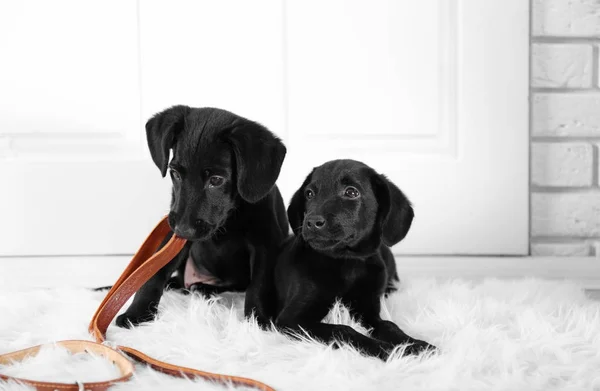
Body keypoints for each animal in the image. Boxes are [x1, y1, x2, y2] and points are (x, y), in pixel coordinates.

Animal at [116, 105, 288, 330]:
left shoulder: (265, 245)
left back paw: (203, 288)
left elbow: (257, 286)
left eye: (216, 180)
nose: (183, 230)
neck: (229, 221)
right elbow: (154, 274)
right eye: (175, 173)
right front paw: (136, 312)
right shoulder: (173, 238)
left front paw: (257, 322)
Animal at [270, 160, 434, 362]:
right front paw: (387, 349)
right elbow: (343, 329)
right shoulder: (292, 318)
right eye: (309, 193)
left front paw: (415, 345)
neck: (347, 262)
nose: (311, 222)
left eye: (351, 192)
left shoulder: (368, 310)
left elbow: (389, 325)